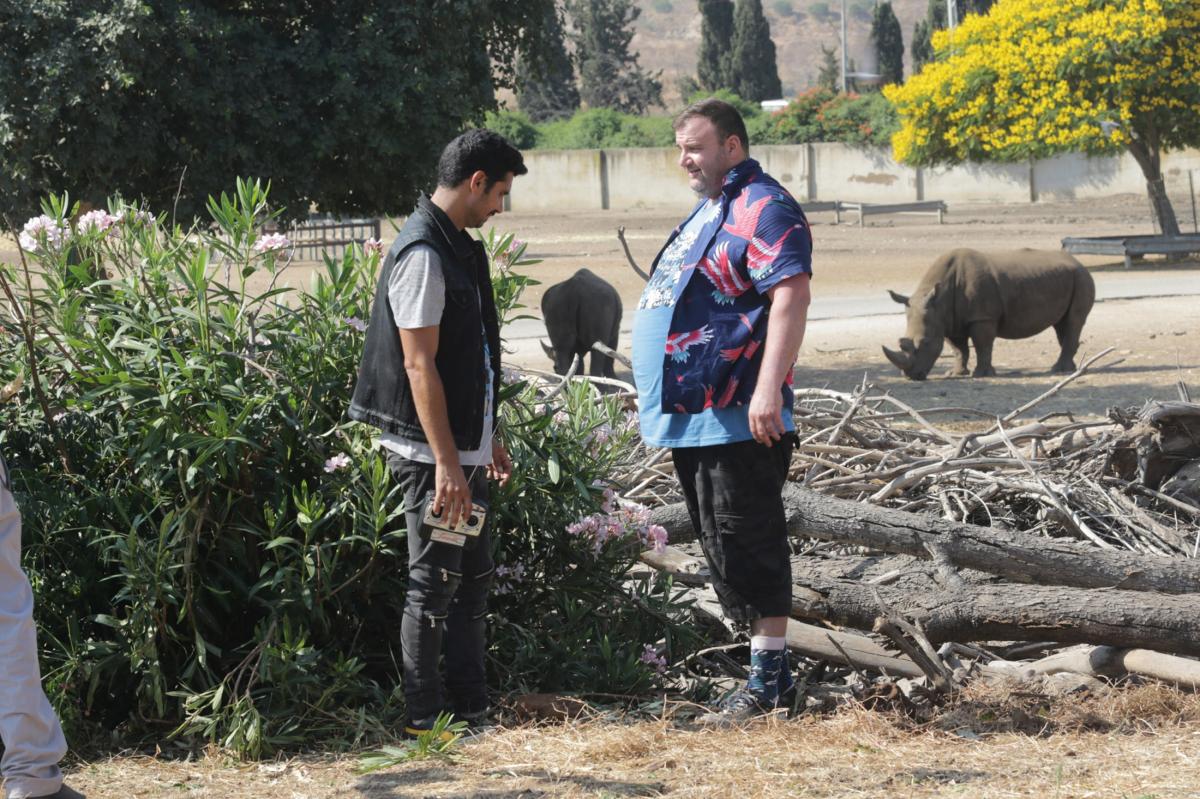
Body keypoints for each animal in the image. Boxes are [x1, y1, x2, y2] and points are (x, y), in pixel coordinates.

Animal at [883, 249, 1099, 379]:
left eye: (926, 342)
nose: (912, 376)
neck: (939, 299)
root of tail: (1079, 262)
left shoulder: (982, 317)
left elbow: (982, 344)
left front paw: (982, 374)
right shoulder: (950, 320)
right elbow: (959, 349)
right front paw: (956, 374)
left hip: (1081, 277)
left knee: (1073, 321)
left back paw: (1058, 370)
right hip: (1068, 278)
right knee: (1062, 325)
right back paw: (1068, 369)